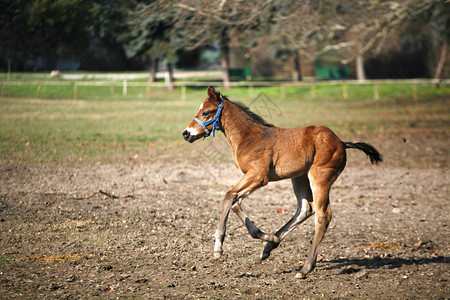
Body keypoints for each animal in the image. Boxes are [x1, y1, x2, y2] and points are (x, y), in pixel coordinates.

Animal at [181, 85, 382, 278]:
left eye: (206, 112)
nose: (186, 133)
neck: (250, 137)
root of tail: (341, 142)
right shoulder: (252, 177)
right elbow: (235, 200)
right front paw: (270, 238)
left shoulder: (259, 176)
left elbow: (229, 197)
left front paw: (218, 248)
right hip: (299, 178)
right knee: (305, 209)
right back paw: (270, 247)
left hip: (320, 177)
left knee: (322, 215)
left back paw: (305, 269)